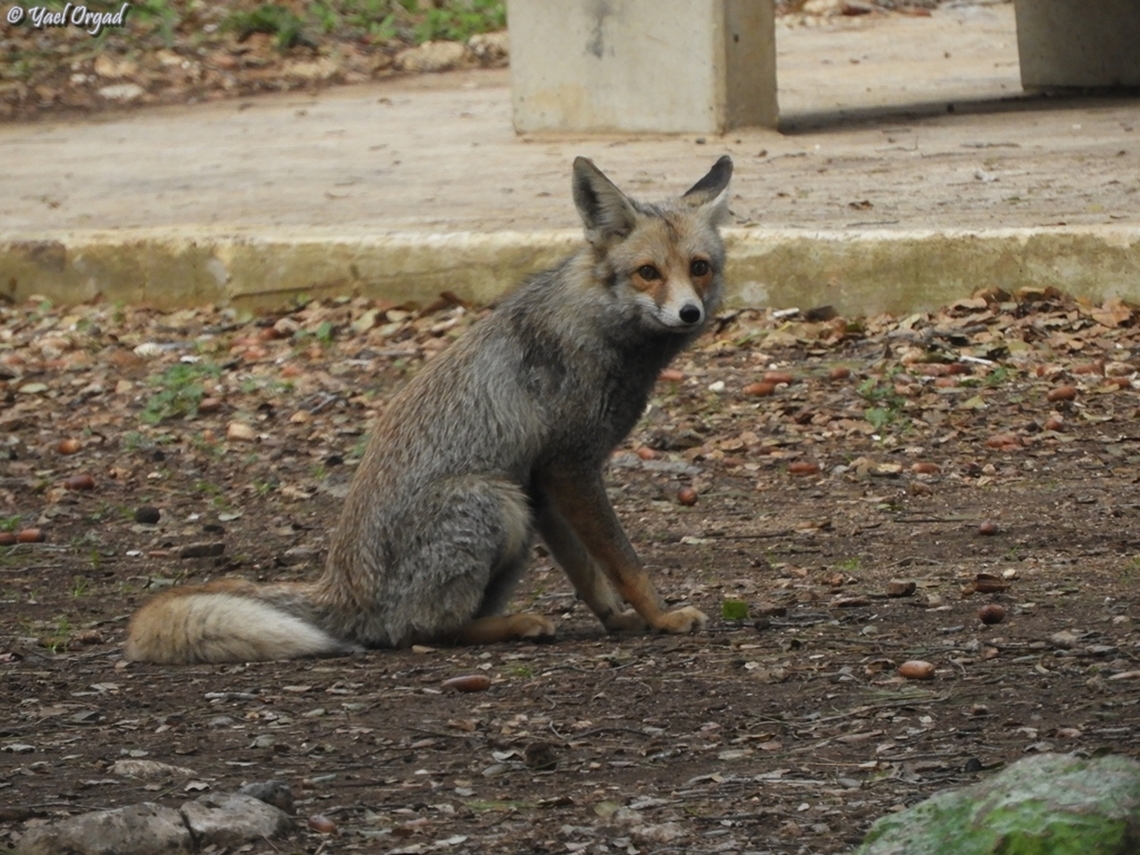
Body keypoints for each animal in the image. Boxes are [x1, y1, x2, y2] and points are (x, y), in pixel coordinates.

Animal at [125, 155, 733, 664]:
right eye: (648, 272)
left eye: (699, 267)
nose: (690, 313)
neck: (598, 325)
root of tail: (341, 590)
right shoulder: (569, 467)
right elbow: (625, 562)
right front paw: (662, 618)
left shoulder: (546, 480)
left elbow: (589, 574)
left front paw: (620, 621)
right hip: (496, 501)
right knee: (418, 631)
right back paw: (515, 626)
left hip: (518, 511)